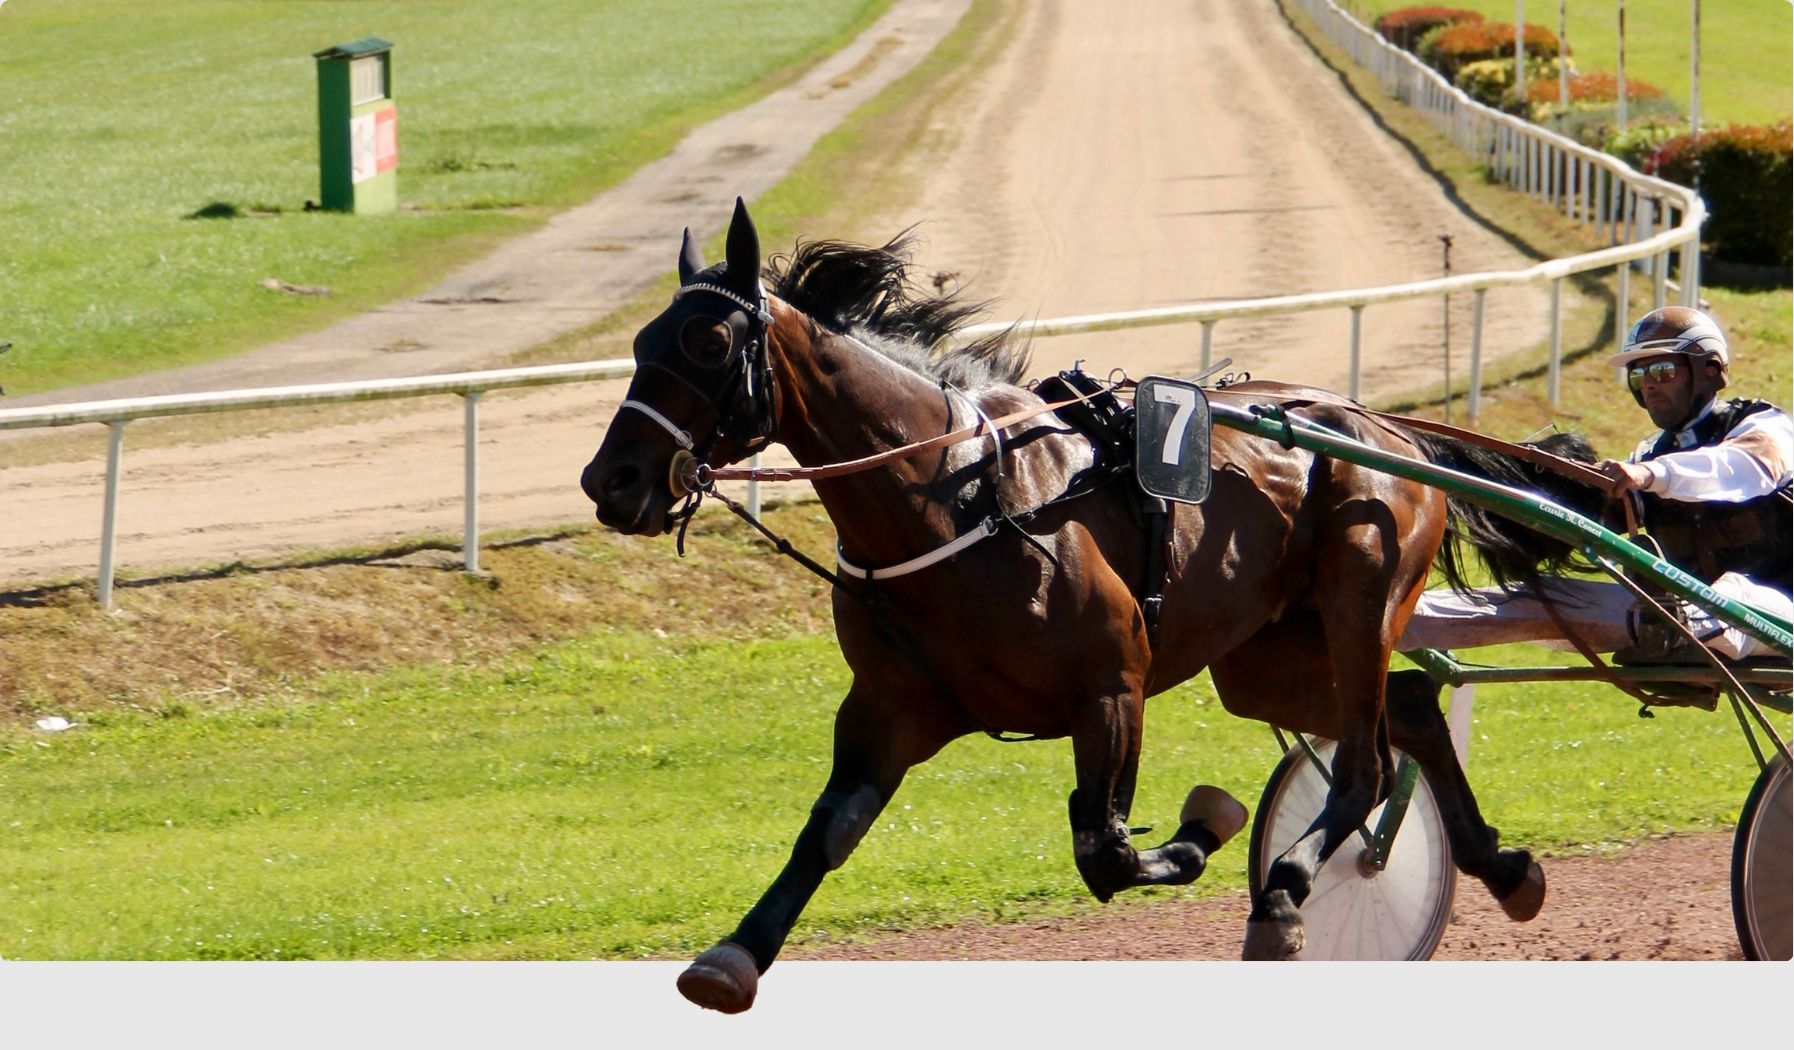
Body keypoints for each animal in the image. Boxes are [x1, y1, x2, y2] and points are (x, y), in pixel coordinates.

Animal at [581, 199, 1598, 1012]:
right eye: (638, 345)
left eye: (708, 344)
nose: (609, 480)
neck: (960, 497)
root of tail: (1385, 428)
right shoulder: (890, 707)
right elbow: (827, 833)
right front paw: (733, 955)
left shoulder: (1111, 684)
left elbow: (1105, 848)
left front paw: (1204, 829)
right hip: (1266, 656)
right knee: (1410, 709)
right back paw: (1504, 867)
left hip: (1361, 590)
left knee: (1364, 764)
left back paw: (1285, 892)